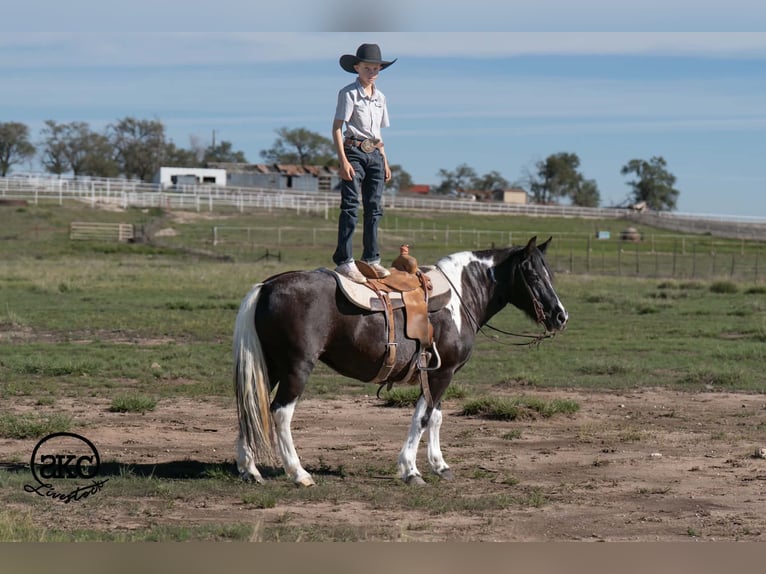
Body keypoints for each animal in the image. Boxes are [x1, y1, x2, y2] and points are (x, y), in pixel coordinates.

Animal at [233, 236, 568, 486]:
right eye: (533, 274)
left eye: (550, 274)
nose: (560, 316)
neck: (460, 297)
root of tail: (268, 286)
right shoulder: (442, 373)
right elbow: (423, 417)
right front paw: (411, 470)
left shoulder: (439, 375)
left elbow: (435, 416)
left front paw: (440, 466)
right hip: (296, 368)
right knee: (280, 412)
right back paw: (299, 473)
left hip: (271, 367)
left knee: (251, 407)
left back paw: (250, 470)